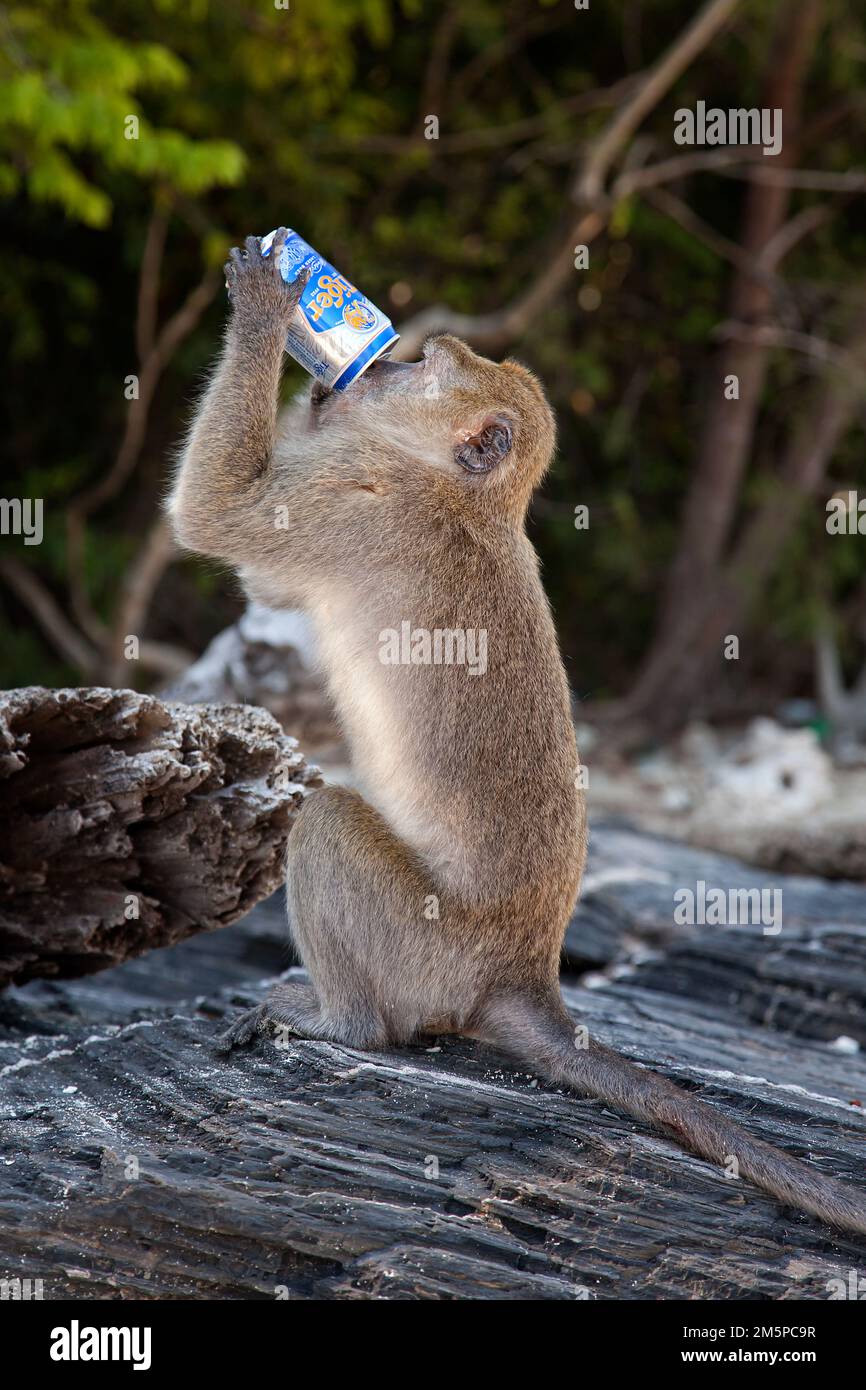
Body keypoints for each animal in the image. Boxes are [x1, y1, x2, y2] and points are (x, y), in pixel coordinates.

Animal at [168, 229, 866, 1238]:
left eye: (426, 362)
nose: (383, 358)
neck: (460, 495)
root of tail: (523, 975)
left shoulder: (366, 504)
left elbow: (217, 516)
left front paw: (273, 308)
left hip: (426, 948)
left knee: (329, 823)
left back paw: (344, 1023)